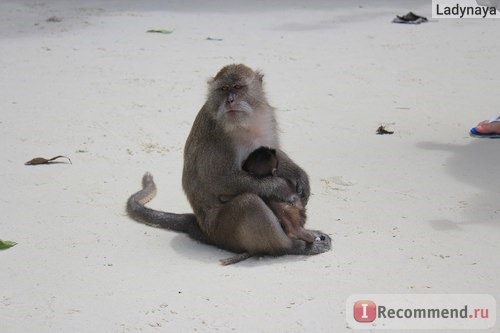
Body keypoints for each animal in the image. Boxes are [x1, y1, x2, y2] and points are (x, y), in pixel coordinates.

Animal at [127, 63, 332, 264]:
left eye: (238, 87)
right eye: (224, 89)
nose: (230, 100)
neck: (245, 123)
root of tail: (202, 227)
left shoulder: (267, 116)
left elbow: (276, 153)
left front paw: (300, 176)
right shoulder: (218, 135)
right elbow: (221, 180)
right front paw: (281, 187)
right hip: (222, 231)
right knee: (249, 202)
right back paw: (293, 245)